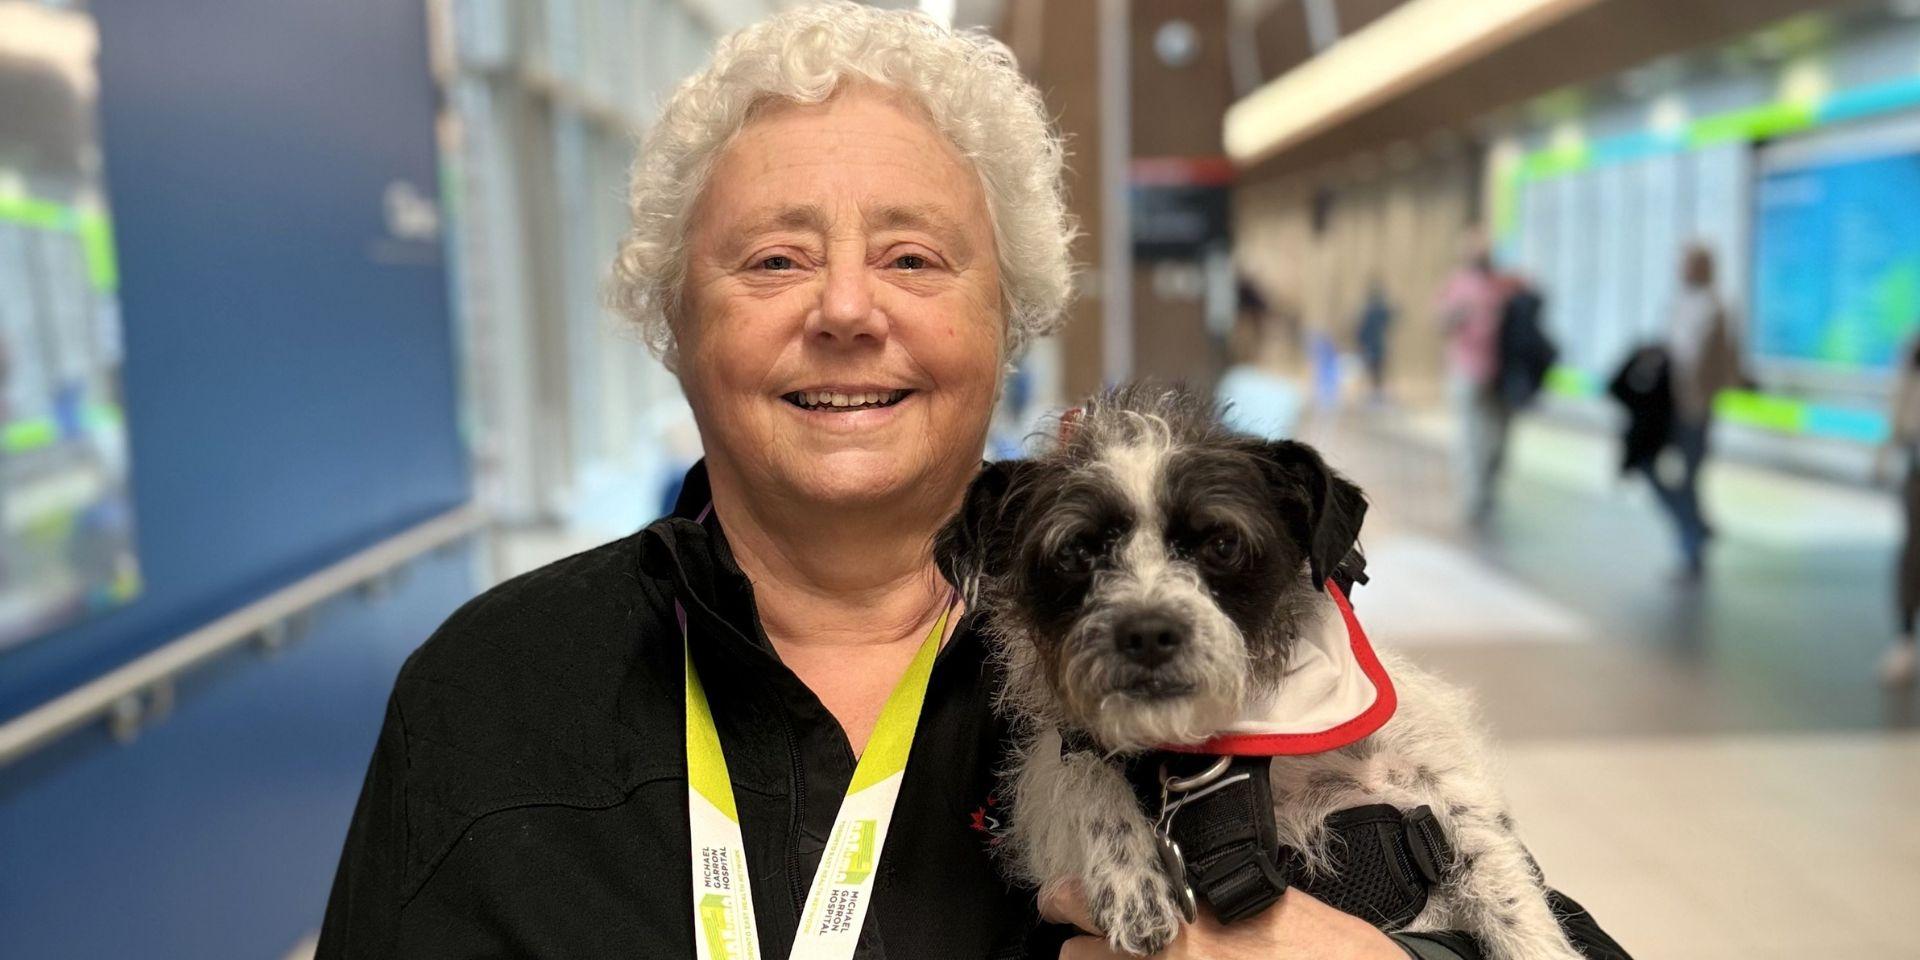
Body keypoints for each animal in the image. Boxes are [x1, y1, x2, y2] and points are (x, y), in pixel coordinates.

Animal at [936, 385, 1582, 960]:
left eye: (1222, 543)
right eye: (1076, 552)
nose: (1146, 633)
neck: (1228, 752)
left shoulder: (1435, 774)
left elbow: (1496, 869)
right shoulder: (1057, 772)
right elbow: (1077, 772)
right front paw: (1128, 871)